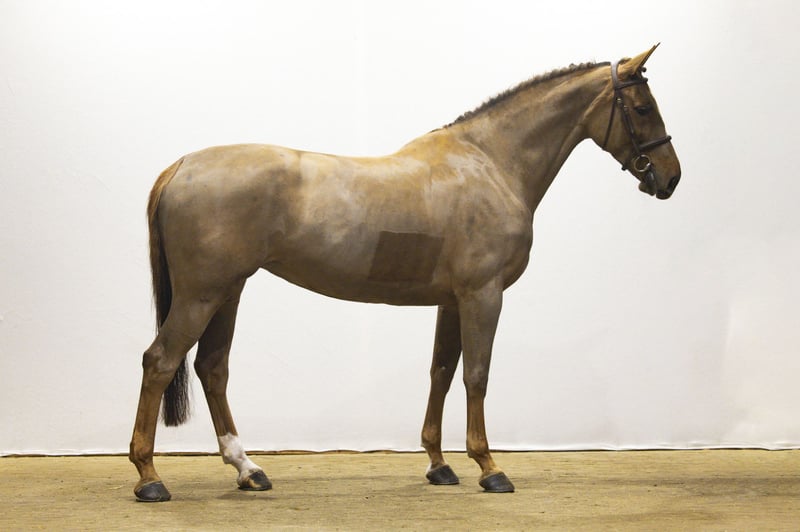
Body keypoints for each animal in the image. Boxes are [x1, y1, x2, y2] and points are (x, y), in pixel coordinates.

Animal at [129, 45, 681, 502]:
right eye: (642, 108)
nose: (670, 178)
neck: (490, 163)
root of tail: (181, 166)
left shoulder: (452, 299)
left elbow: (441, 371)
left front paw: (439, 465)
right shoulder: (483, 295)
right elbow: (477, 375)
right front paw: (490, 468)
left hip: (228, 291)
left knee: (212, 368)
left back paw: (248, 470)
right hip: (202, 294)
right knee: (160, 362)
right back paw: (150, 478)